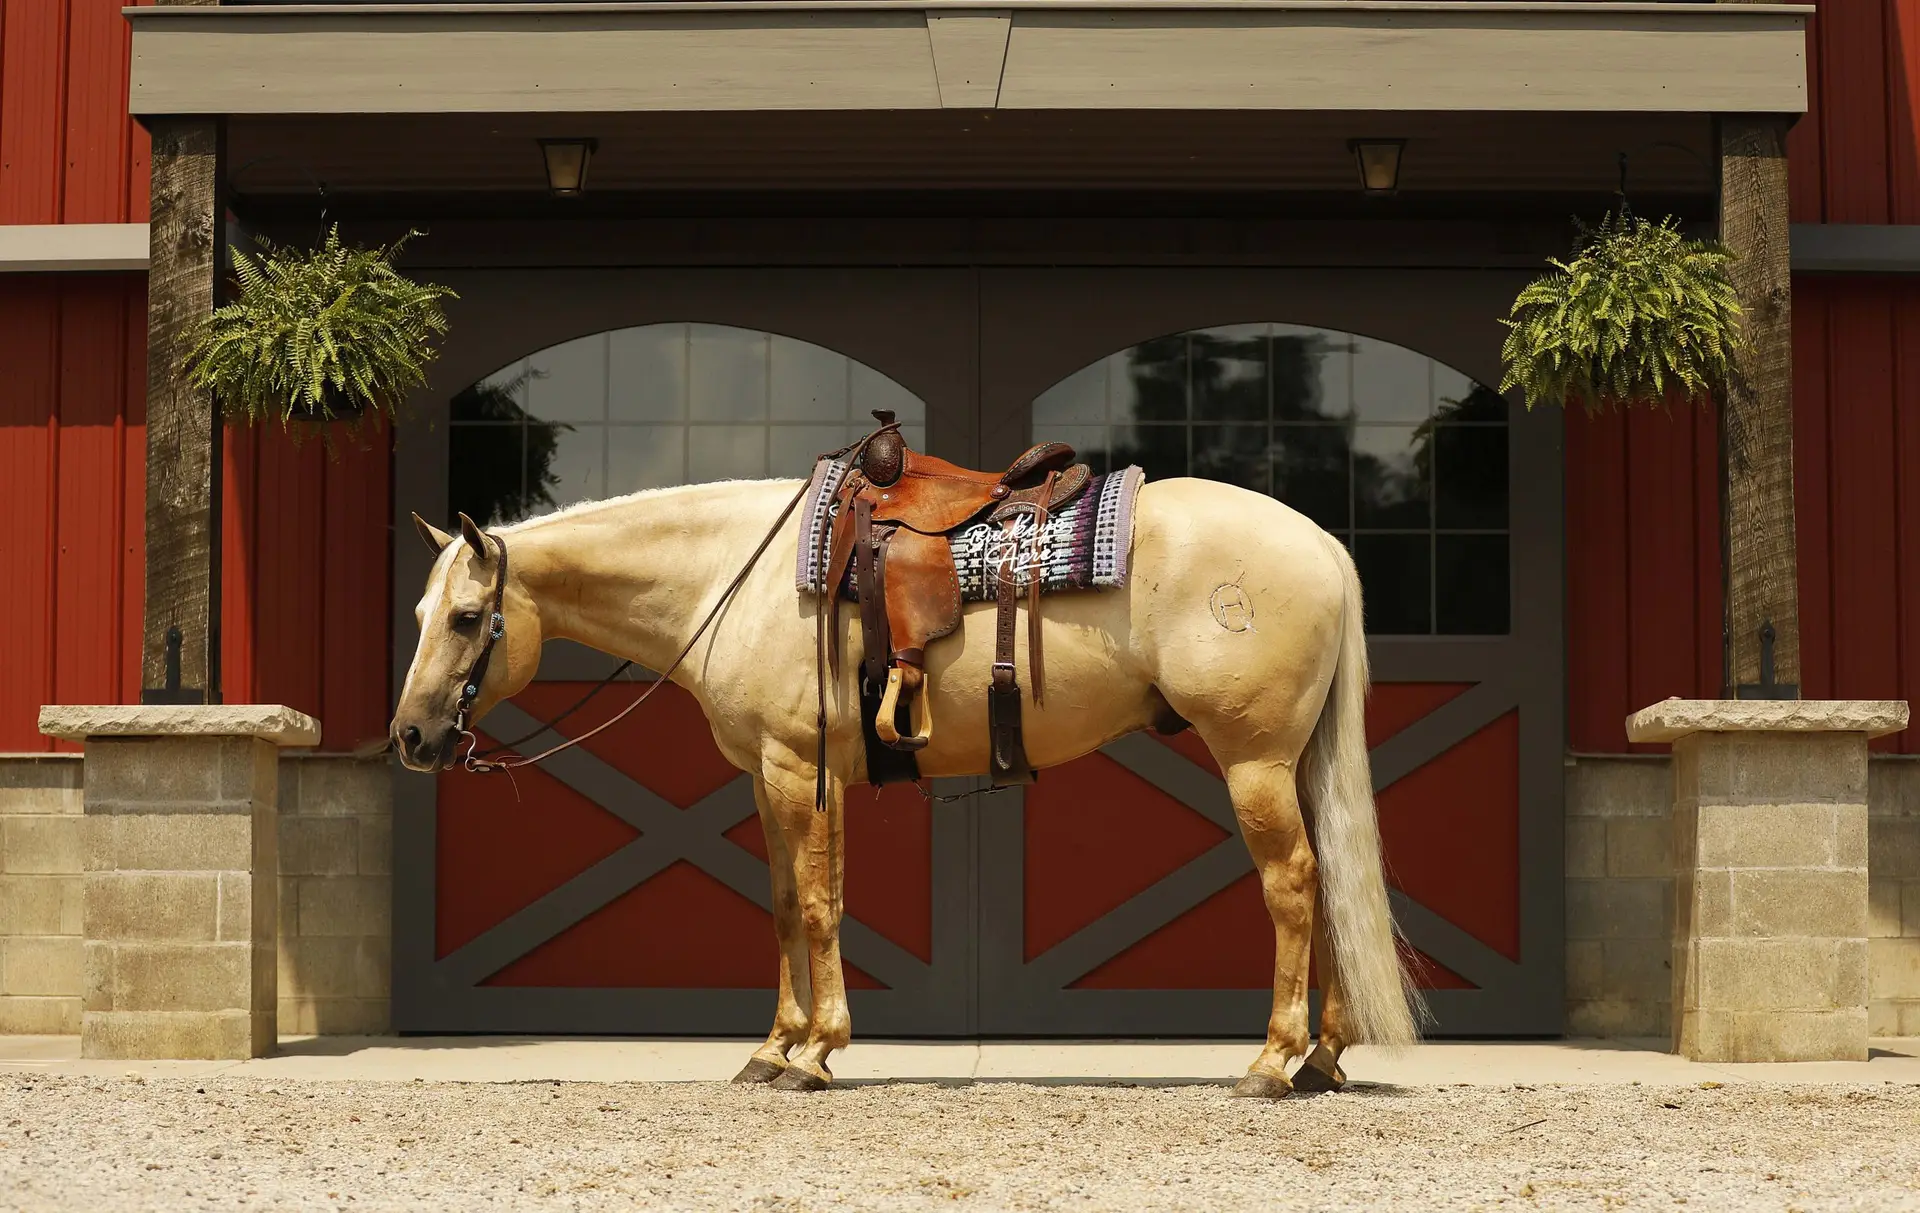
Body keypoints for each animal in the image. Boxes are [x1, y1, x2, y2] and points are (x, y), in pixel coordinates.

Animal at [391, 475, 1419, 1096]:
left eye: (469, 616)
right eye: (420, 611)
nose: (410, 736)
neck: (734, 576)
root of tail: (1321, 543)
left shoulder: (798, 767)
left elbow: (818, 904)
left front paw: (817, 1051)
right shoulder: (766, 777)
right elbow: (780, 904)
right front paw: (772, 1047)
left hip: (1253, 760)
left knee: (1293, 885)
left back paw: (1274, 1060)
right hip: (1293, 764)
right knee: (1328, 882)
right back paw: (1323, 1056)